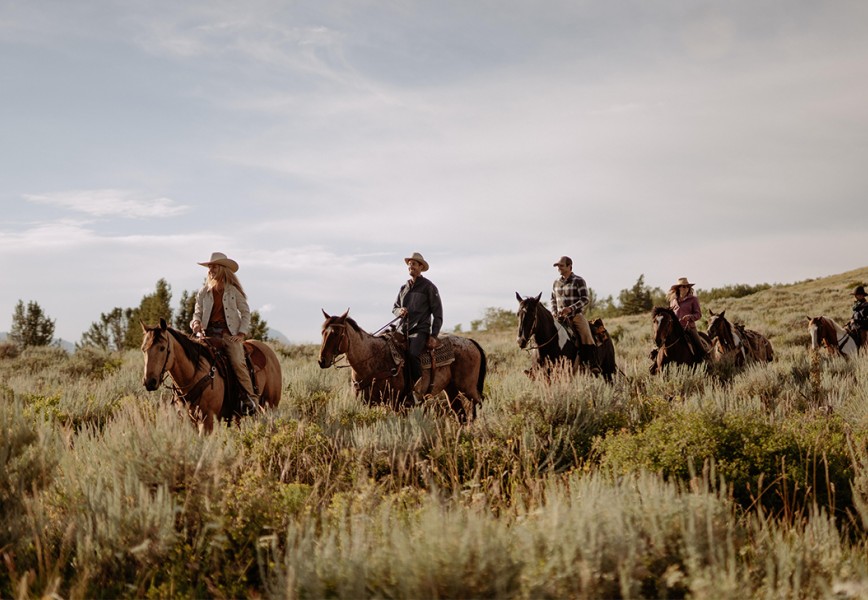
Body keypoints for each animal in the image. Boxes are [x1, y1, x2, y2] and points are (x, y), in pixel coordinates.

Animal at [140, 318, 282, 432]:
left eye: (162, 348)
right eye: (143, 349)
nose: (149, 382)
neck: (194, 374)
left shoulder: (207, 419)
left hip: (270, 406)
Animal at [318, 310, 484, 422]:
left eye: (336, 333)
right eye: (322, 332)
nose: (322, 361)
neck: (371, 358)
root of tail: (470, 341)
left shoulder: (397, 404)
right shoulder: (366, 404)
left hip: (467, 387)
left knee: (478, 405)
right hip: (451, 389)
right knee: (461, 414)